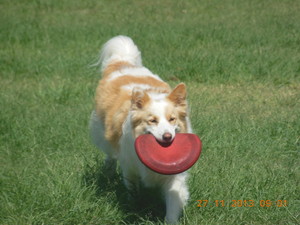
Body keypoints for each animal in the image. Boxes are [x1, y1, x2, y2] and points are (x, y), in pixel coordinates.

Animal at [89, 35, 192, 223]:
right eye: (152, 121)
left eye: (172, 119)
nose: (168, 136)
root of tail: (123, 62)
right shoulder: (129, 166)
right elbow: (133, 191)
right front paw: (134, 206)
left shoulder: (174, 176)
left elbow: (173, 200)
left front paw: (170, 220)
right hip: (104, 134)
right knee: (110, 154)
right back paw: (108, 170)